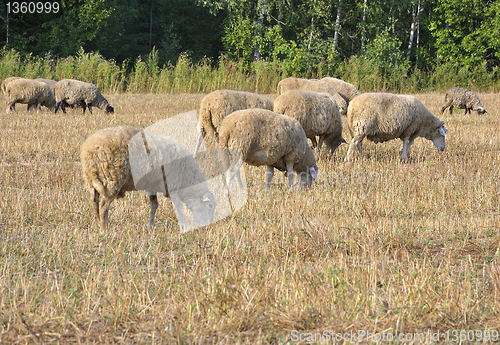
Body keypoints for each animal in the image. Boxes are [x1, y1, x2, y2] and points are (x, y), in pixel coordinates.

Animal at [80, 125, 217, 231]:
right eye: (210, 206)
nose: (207, 225)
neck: (187, 180)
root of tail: (88, 148)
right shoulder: (172, 185)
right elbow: (178, 207)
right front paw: (184, 226)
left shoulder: (152, 185)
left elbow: (154, 204)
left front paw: (150, 226)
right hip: (111, 179)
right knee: (104, 206)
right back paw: (105, 230)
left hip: (93, 181)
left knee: (95, 202)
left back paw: (99, 224)